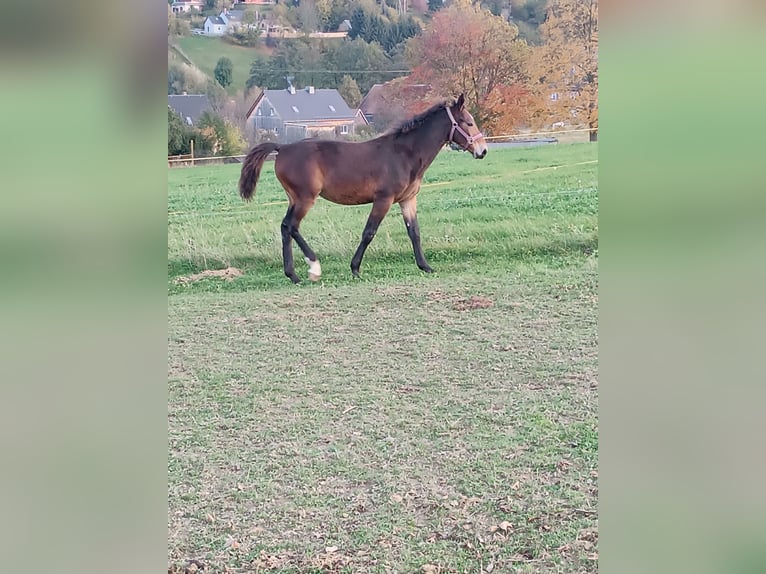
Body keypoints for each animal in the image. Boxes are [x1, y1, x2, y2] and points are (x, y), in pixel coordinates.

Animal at [238, 93, 486, 284]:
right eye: (468, 122)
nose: (482, 150)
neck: (404, 154)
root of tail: (282, 148)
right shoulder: (384, 199)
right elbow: (369, 232)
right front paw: (355, 268)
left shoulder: (408, 200)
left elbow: (414, 232)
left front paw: (425, 266)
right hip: (305, 198)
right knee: (292, 226)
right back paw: (313, 268)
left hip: (294, 199)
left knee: (285, 227)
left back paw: (293, 274)